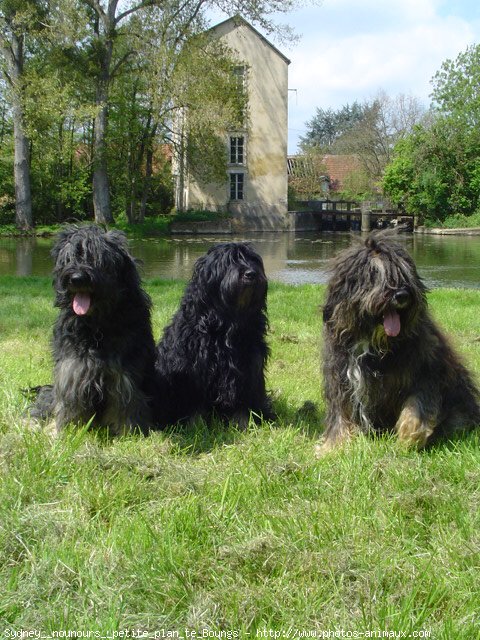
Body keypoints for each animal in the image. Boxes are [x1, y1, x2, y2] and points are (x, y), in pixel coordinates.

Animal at [30, 225, 158, 436]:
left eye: (98, 259)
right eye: (70, 258)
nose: (77, 278)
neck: (97, 326)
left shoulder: (123, 371)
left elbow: (126, 402)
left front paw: (129, 433)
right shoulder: (72, 367)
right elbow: (69, 401)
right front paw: (68, 430)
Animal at [156, 242, 272, 428]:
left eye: (254, 261)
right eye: (230, 261)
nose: (251, 274)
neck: (227, 322)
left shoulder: (248, 366)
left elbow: (242, 404)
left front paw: (243, 425)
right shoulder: (193, 370)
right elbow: (195, 407)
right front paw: (196, 426)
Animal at [316, 230, 478, 456]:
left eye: (403, 273)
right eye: (373, 274)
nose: (401, 295)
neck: (372, 343)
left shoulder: (425, 372)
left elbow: (416, 406)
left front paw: (409, 438)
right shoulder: (341, 377)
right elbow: (341, 413)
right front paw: (332, 446)